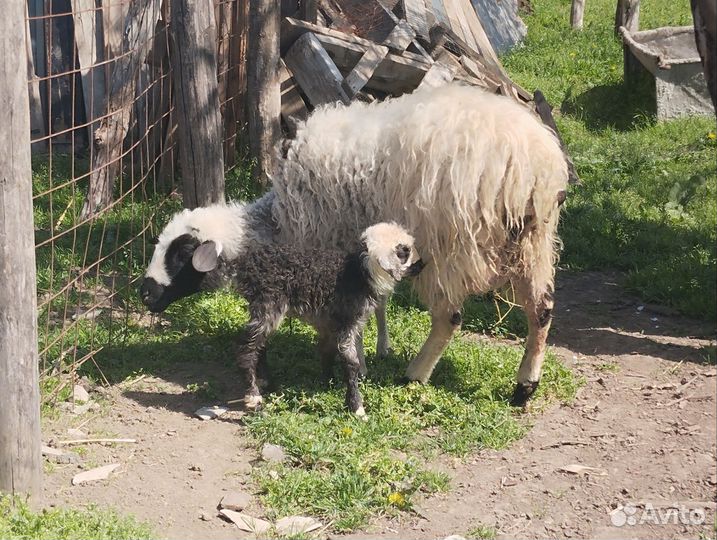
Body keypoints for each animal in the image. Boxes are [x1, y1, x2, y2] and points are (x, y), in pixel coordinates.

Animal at [140, 216, 424, 417]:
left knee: (258, 344)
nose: (424, 264)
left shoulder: (330, 323)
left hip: (264, 308)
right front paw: (356, 407)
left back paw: (266, 383)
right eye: (405, 251)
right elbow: (351, 362)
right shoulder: (347, 321)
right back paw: (253, 396)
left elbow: (327, 351)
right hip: (269, 305)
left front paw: (327, 381)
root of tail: (249, 264)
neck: (360, 272)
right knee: (245, 347)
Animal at [269, 83, 570, 405]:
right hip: (535, 245)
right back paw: (525, 385)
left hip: (446, 249)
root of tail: (531, 168)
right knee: (542, 310)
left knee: (449, 318)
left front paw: (359, 362)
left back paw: (415, 373)